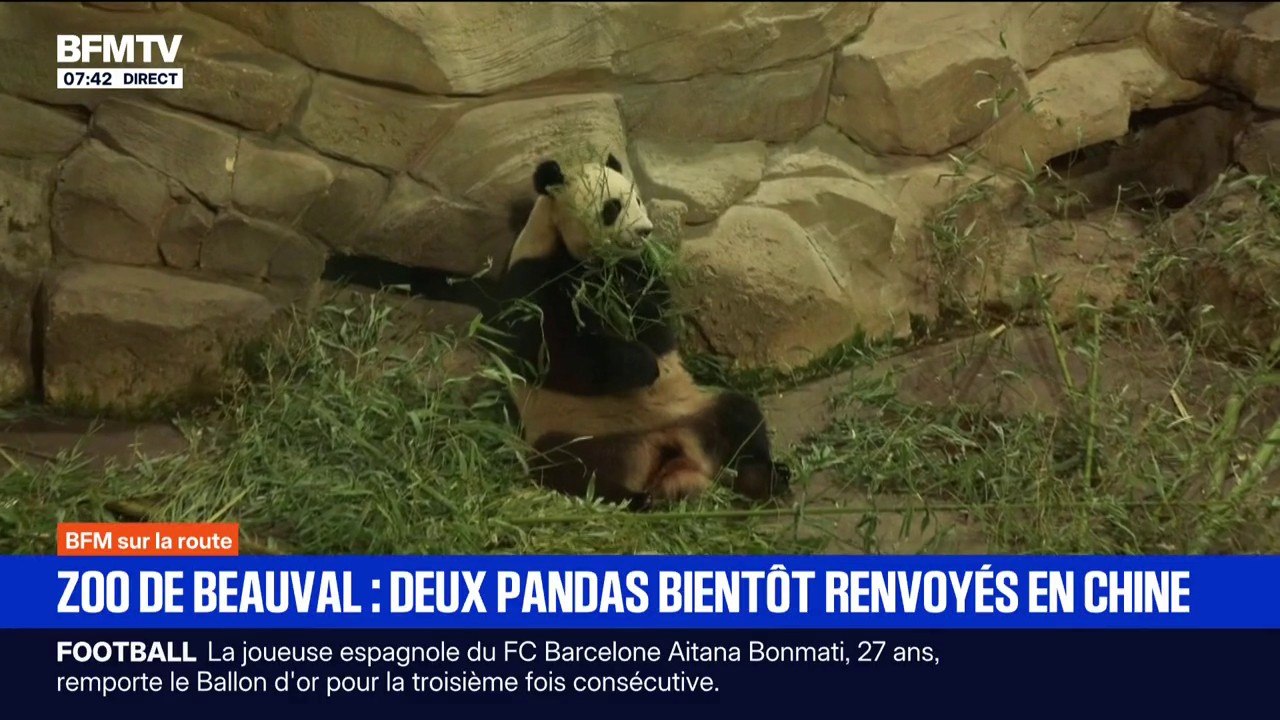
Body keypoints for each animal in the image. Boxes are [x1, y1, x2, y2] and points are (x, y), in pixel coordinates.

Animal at [489, 152, 791, 509]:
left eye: (637, 200)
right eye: (612, 206)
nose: (645, 231)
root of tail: (668, 456)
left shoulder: (640, 267)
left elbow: (657, 322)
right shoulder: (532, 275)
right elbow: (548, 350)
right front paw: (642, 365)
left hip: (691, 408)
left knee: (739, 415)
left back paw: (760, 479)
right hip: (575, 432)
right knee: (571, 470)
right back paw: (635, 499)